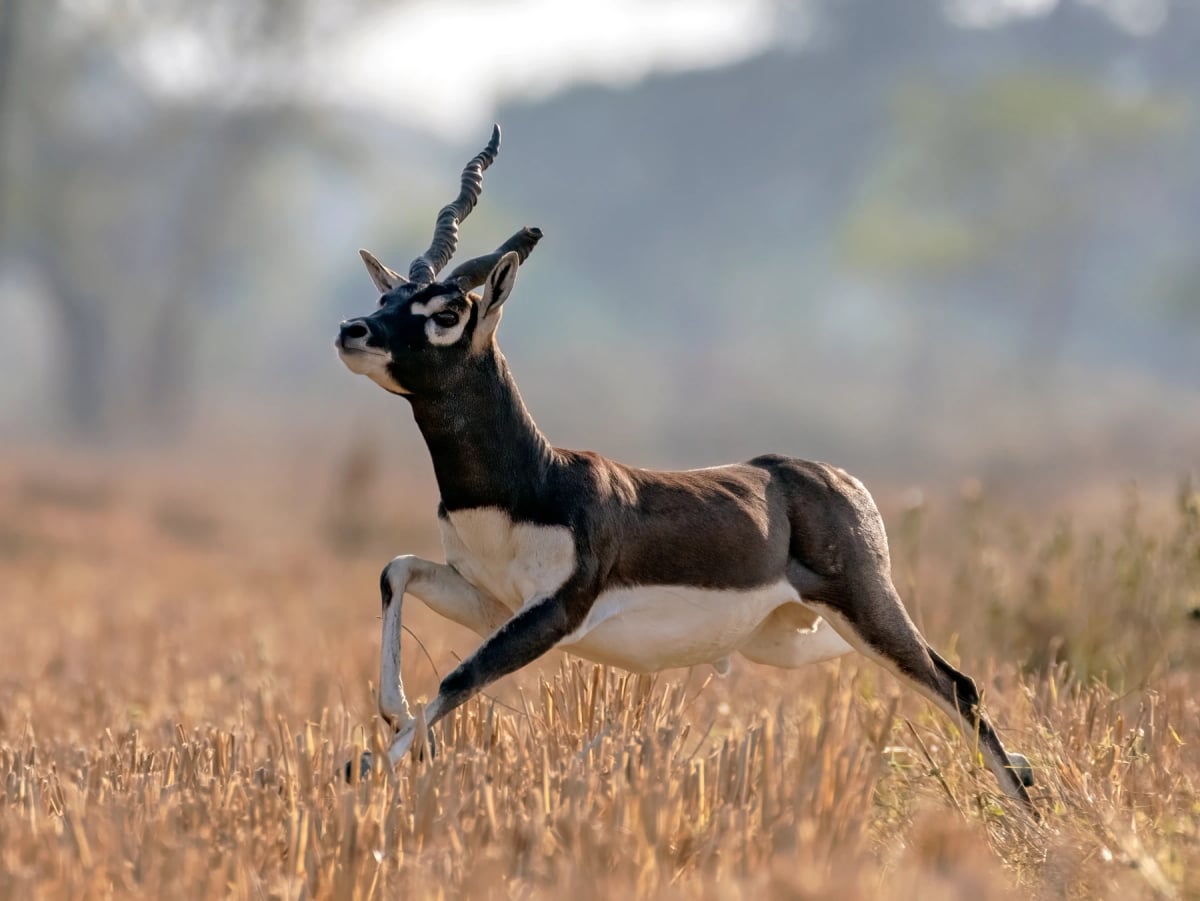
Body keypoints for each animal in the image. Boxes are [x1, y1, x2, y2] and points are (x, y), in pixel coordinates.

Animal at [335, 126, 1035, 813]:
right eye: (388, 295)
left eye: (446, 314)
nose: (353, 329)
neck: (532, 482)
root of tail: (837, 480)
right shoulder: (487, 600)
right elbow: (396, 571)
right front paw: (396, 728)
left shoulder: (555, 612)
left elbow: (460, 677)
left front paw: (363, 773)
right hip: (789, 638)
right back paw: (1026, 779)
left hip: (863, 606)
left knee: (958, 684)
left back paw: (1028, 820)